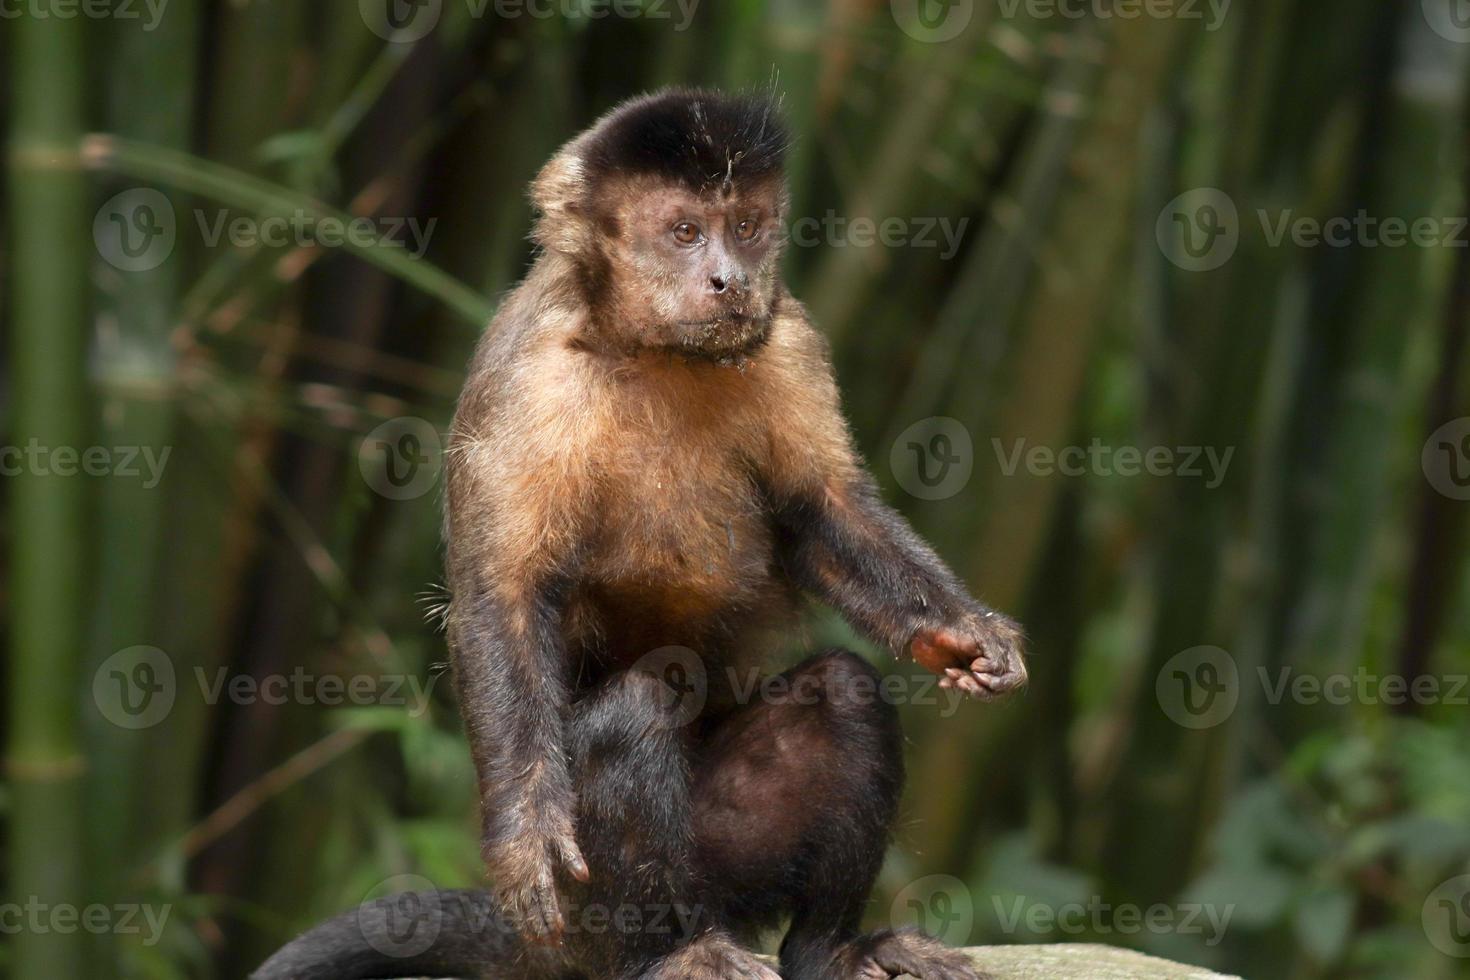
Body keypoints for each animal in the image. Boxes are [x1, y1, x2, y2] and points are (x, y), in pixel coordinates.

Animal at [252, 86, 1029, 980]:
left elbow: (821, 512)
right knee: (638, 708)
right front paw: (526, 835)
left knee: (841, 690)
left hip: (730, 858)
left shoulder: (788, 336)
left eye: (747, 226)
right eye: (685, 232)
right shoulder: (529, 375)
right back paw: (676, 951)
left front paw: (960, 630)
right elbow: (500, 596)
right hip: (587, 914)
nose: (729, 279)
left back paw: (829, 948)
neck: (654, 348)